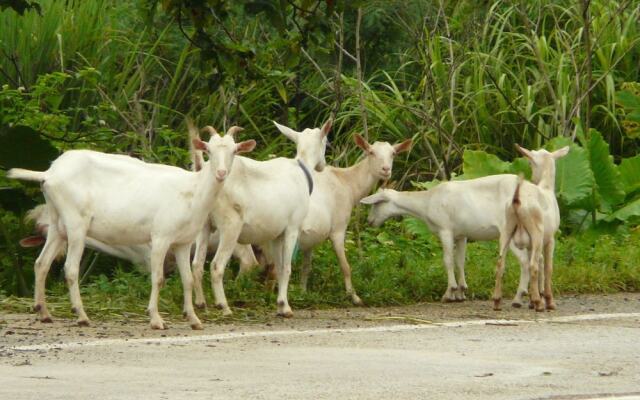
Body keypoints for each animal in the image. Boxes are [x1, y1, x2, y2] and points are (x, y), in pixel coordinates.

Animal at [8, 123, 255, 330]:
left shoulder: (183, 243)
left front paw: (194, 320)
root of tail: (49, 173)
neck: (192, 190)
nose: (221, 173)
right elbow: (158, 278)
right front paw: (156, 319)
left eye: (234, 151)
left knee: (41, 263)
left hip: (57, 224)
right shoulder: (161, 237)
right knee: (70, 268)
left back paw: (44, 313)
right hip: (76, 224)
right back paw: (82, 316)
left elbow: (188, 279)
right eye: (209, 151)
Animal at [191, 119, 330, 316]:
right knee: (217, 266)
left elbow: (278, 267)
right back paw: (223, 306)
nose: (322, 165)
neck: (301, 169)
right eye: (326, 141)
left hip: (204, 225)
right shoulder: (292, 228)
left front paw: (280, 305)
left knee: (197, 264)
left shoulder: (276, 234)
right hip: (230, 226)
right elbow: (286, 268)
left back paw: (201, 304)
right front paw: (286, 307)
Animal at [298, 134, 412, 304]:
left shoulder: (310, 236)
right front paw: (354, 297)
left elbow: (306, 267)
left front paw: (302, 293)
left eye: (393, 153)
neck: (347, 183)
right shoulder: (338, 228)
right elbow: (345, 266)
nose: (386, 170)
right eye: (371, 152)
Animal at [360, 174, 536, 304]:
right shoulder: (461, 235)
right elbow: (460, 261)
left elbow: (448, 260)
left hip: (511, 232)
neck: (427, 202)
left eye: (376, 204)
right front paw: (461, 292)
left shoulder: (445, 230)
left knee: (524, 262)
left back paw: (519, 297)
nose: (369, 221)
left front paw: (449, 292)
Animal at [492, 145, 568, 310]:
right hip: (537, 233)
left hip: (506, 230)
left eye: (530, 163)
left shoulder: (529, 245)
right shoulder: (550, 239)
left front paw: (533, 300)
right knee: (533, 265)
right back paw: (539, 304)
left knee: (500, 264)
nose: (533, 179)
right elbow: (548, 268)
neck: (546, 187)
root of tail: (517, 200)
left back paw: (497, 301)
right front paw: (548, 301)